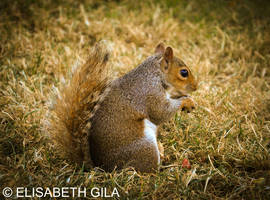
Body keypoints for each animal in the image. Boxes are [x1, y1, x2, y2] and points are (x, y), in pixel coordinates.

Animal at [45, 41, 197, 173]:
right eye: (184, 72)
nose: (196, 87)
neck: (155, 74)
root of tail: (101, 167)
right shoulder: (149, 93)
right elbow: (160, 112)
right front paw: (186, 102)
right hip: (144, 148)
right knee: (148, 170)